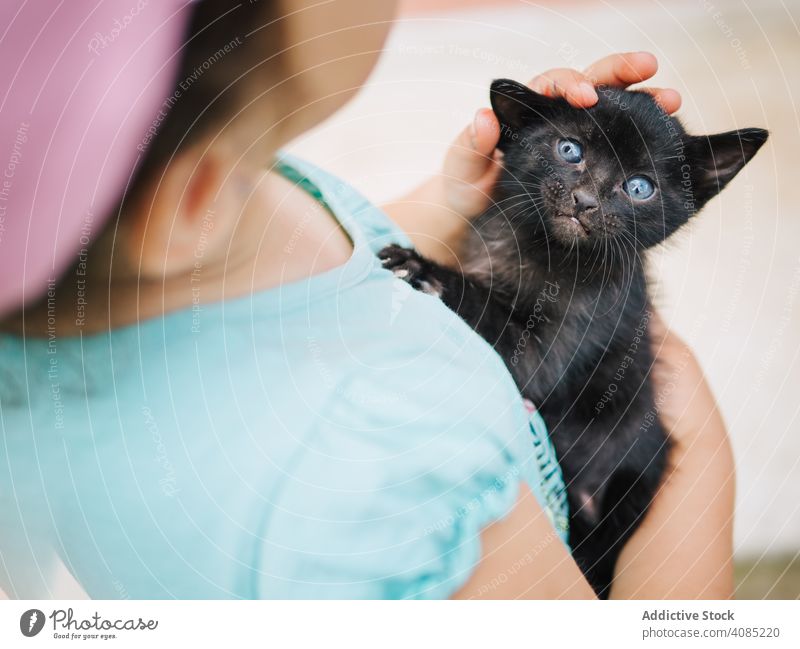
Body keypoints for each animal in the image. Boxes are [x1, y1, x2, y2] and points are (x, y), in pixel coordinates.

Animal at [382, 79, 768, 596]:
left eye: (639, 188)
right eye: (570, 150)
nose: (585, 200)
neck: (543, 254)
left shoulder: (558, 348)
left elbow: (493, 314)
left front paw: (421, 268)